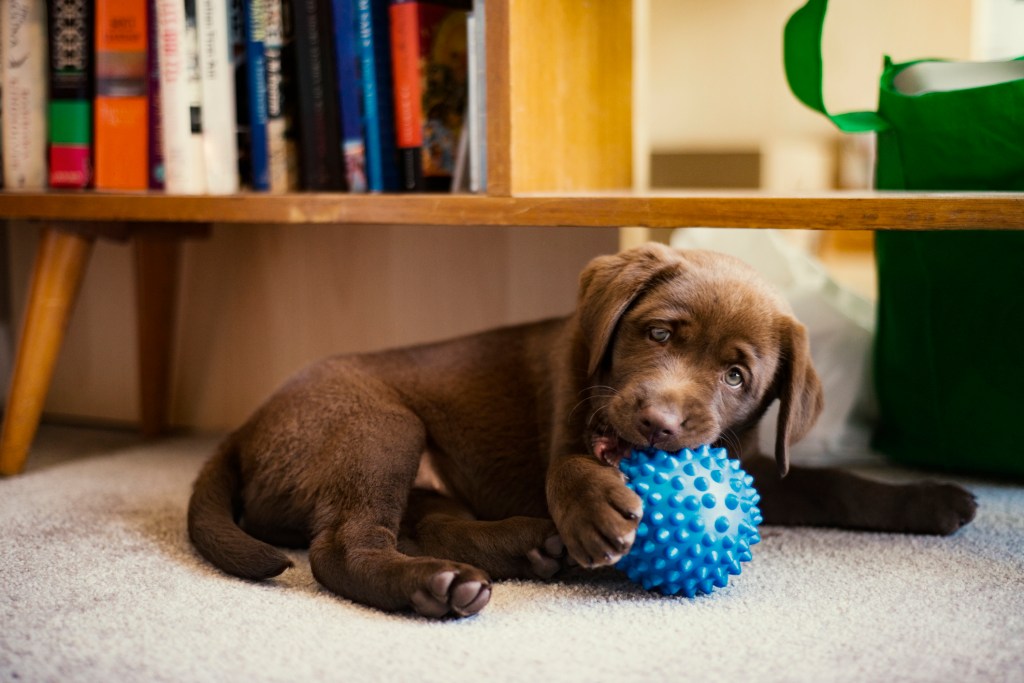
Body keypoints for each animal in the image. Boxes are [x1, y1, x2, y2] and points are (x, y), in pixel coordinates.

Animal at [190, 244, 974, 618]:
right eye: (659, 333)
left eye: (736, 376)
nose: (659, 423)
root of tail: (246, 425)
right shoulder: (575, 397)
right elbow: (567, 458)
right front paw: (595, 510)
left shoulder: (752, 463)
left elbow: (833, 482)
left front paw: (931, 499)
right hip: (381, 425)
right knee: (341, 548)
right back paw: (438, 585)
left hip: (416, 470)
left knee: (431, 520)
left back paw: (528, 548)